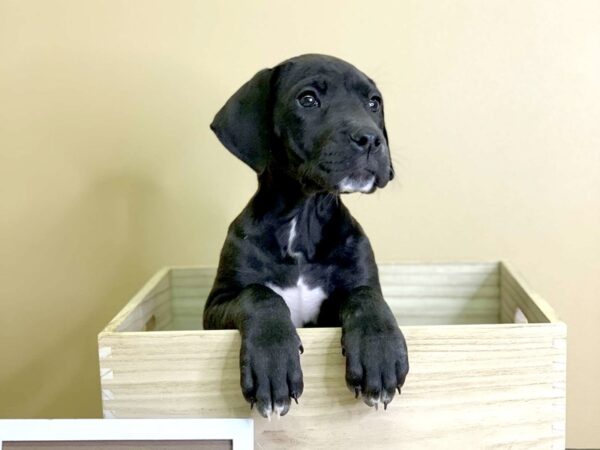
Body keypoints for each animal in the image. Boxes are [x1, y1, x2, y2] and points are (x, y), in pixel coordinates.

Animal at [205, 54, 408, 420]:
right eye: (308, 99)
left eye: (374, 103)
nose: (371, 139)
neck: (302, 221)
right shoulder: (216, 305)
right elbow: (260, 294)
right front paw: (272, 361)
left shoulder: (350, 292)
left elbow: (366, 297)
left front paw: (379, 351)